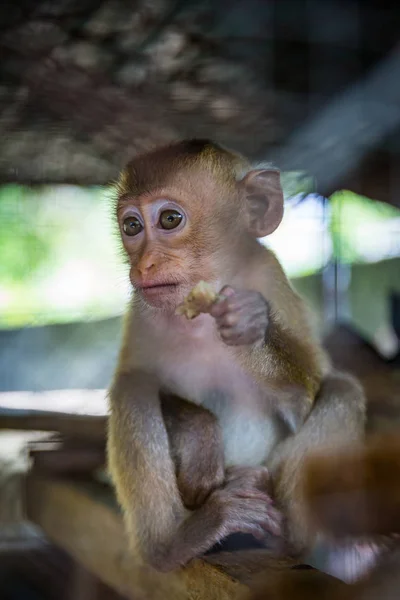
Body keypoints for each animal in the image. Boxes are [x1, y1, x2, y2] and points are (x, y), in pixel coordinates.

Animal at [107, 138, 366, 576]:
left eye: (170, 219)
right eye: (131, 226)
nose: (144, 265)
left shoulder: (271, 279)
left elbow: (305, 401)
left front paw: (248, 326)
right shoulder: (142, 312)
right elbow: (137, 380)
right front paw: (200, 438)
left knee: (344, 390)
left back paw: (287, 540)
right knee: (133, 388)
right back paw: (173, 544)